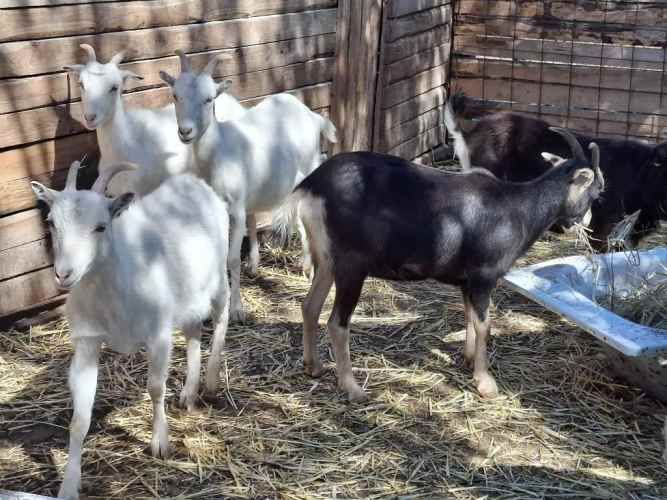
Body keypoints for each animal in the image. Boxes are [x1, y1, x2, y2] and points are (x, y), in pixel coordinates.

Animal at [31, 163, 230, 499]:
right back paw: (189, 392)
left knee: (221, 318)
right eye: (51, 223)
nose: (64, 274)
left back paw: (212, 382)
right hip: (188, 295)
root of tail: (194, 182)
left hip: (219, 278)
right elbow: (80, 417)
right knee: (193, 332)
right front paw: (69, 485)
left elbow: (155, 388)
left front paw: (160, 443)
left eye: (101, 226)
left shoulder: (158, 334)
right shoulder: (87, 342)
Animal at [159, 50, 338, 322]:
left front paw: (236, 309)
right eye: (175, 95)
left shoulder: (235, 207)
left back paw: (308, 268)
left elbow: (232, 258)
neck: (220, 150)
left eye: (209, 99)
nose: (185, 131)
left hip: (310, 168)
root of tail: (312, 115)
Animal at [278, 128, 603, 402]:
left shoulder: (466, 282)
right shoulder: (484, 277)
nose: (586, 224)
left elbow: (470, 318)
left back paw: (313, 366)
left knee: (310, 306)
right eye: (597, 190)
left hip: (326, 259)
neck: (519, 209)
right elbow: (485, 324)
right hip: (351, 266)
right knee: (337, 322)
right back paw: (353, 388)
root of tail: (312, 185)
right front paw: (486, 382)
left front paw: (469, 360)